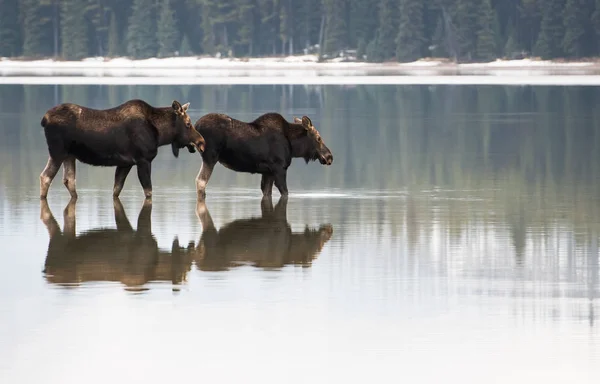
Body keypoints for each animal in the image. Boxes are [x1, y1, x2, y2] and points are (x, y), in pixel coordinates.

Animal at [39, 99, 206, 200]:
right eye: (188, 124)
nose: (201, 142)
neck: (161, 135)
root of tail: (44, 119)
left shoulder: (125, 163)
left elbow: (116, 189)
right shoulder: (143, 160)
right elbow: (148, 191)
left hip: (69, 155)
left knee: (69, 179)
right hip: (57, 152)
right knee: (45, 177)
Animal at [192, 112, 332, 200]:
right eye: (319, 138)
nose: (329, 156)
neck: (293, 146)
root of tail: (196, 126)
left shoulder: (268, 172)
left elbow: (267, 193)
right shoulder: (279, 168)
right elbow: (285, 192)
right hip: (210, 157)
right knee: (200, 181)